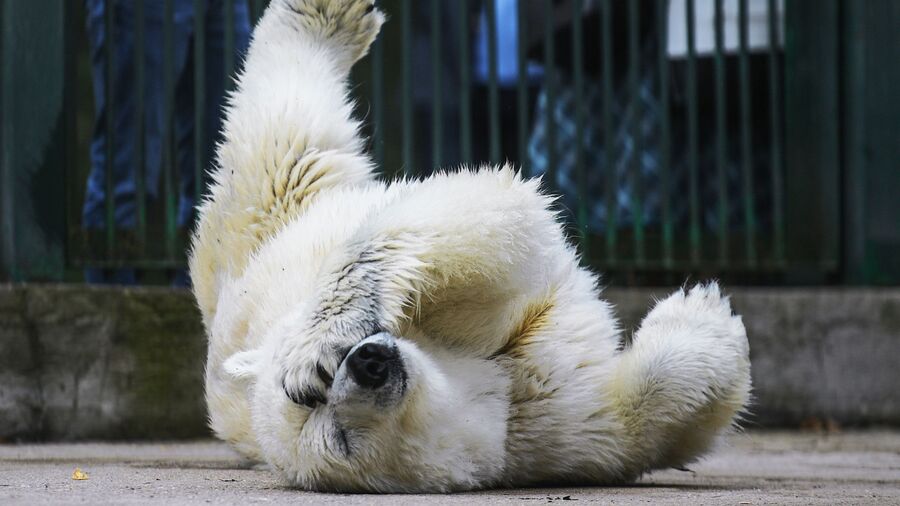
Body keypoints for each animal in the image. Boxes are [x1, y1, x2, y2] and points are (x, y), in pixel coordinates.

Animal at [188, 0, 752, 492]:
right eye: (337, 435)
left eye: (319, 394)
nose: (369, 362)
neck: (481, 385)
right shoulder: (544, 427)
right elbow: (626, 422)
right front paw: (703, 318)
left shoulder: (459, 335)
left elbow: (481, 214)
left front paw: (313, 348)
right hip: (262, 221)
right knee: (283, 139)